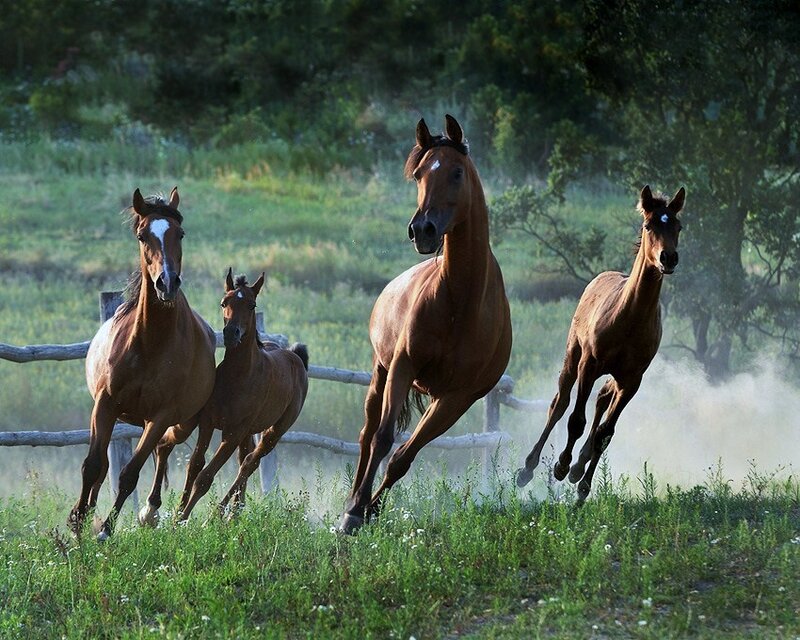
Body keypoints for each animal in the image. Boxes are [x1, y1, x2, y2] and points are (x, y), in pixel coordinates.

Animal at [67, 187, 217, 539]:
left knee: (167, 451)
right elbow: (93, 465)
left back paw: (151, 511)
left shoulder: (160, 416)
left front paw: (105, 530)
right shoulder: (105, 404)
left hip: (183, 423)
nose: (167, 283)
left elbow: (130, 473)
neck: (150, 344)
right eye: (141, 235)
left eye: (180, 233)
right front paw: (78, 522)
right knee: (106, 463)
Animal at [151, 269, 309, 521]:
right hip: (248, 432)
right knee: (245, 460)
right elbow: (195, 465)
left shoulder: (233, 432)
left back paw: (222, 514)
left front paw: (191, 520)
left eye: (252, 305)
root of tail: (296, 357)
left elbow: (205, 477)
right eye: (224, 302)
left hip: (274, 431)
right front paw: (178, 516)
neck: (239, 377)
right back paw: (234, 512)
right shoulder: (208, 423)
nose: (230, 333)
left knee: (250, 463)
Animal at [338, 115, 513, 534]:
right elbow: (383, 439)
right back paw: (351, 501)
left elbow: (405, 455)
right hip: (380, 373)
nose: (422, 230)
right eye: (418, 174)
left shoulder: (456, 398)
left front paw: (371, 509)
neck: (461, 302)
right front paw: (354, 511)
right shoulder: (403, 366)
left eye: (456, 172)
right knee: (367, 435)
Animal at [516, 185, 686, 503]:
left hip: (614, 378)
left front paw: (582, 484)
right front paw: (561, 466)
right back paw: (530, 468)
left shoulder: (632, 380)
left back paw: (579, 468)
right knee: (560, 404)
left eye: (678, 226)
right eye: (649, 225)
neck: (629, 318)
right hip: (572, 358)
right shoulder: (589, 364)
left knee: (602, 402)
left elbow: (606, 432)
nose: (668, 258)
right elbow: (575, 420)